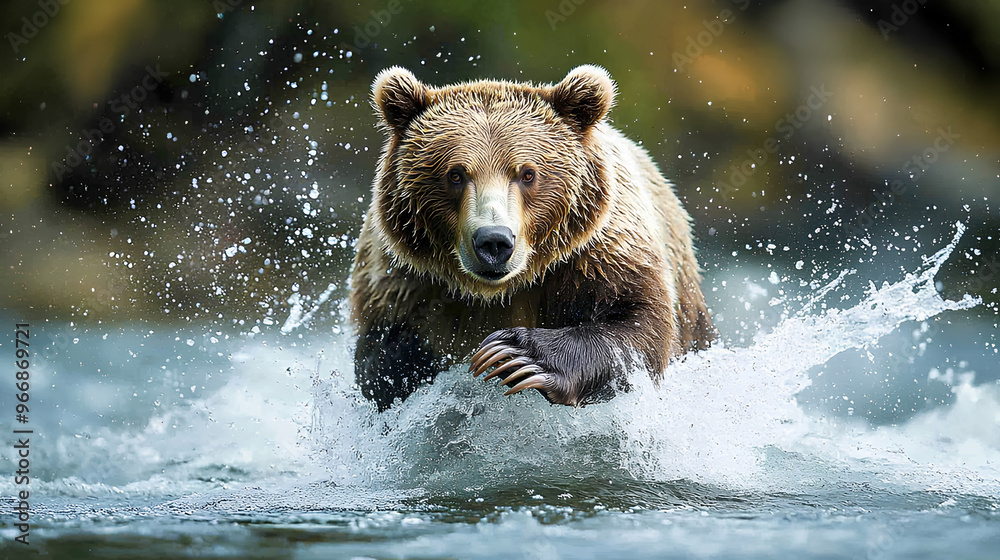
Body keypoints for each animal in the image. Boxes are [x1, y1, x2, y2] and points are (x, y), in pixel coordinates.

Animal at [350, 65, 714, 411]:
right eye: (455, 174)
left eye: (527, 173)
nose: (494, 241)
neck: (500, 290)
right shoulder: (406, 280)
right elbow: (384, 355)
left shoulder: (595, 254)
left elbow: (640, 324)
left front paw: (515, 353)